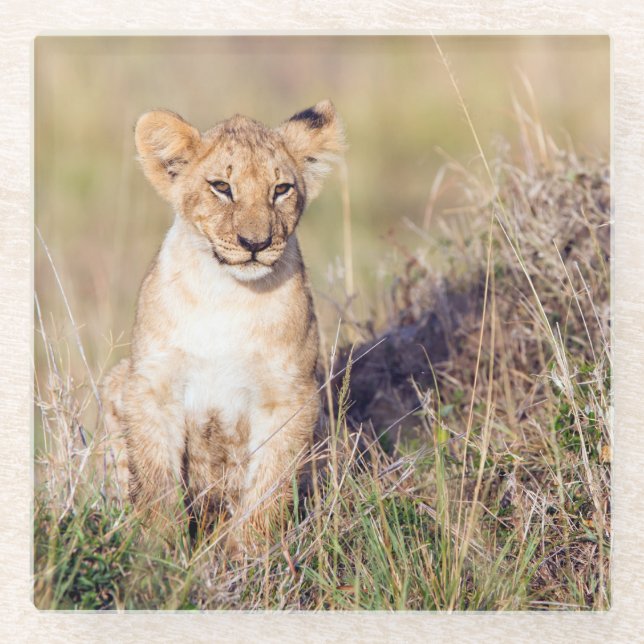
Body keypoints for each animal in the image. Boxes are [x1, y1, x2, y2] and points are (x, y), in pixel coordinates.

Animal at [100, 100, 344, 550]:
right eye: (221, 187)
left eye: (281, 189)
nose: (255, 244)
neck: (227, 295)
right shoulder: (151, 386)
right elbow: (155, 482)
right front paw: (158, 553)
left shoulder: (290, 396)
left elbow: (268, 487)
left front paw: (250, 555)